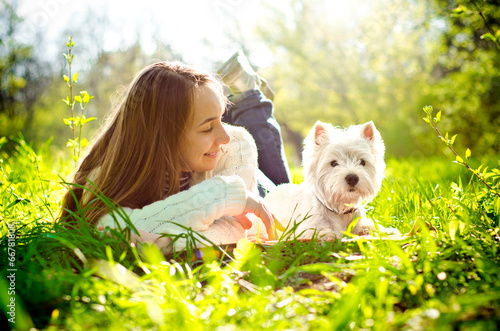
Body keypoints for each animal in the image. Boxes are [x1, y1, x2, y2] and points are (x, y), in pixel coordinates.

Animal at [264, 120, 392, 240]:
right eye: (333, 163)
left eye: (362, 162)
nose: (352, 178)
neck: (340, 210)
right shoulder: (306, 228)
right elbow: (323, 233)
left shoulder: (360, 222)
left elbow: (369, 227)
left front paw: (387, 231)